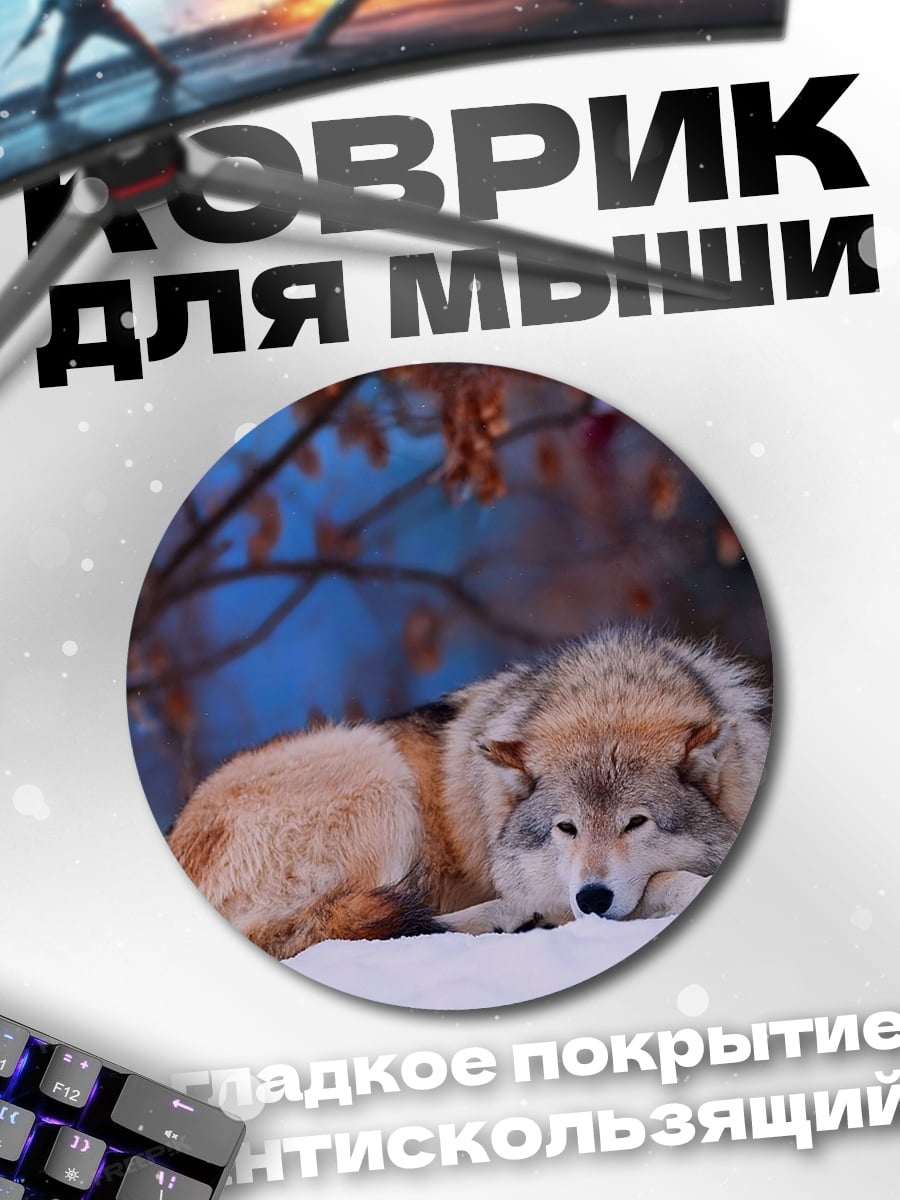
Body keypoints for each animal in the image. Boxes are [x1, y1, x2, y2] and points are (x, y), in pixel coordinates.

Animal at [167, 627, 769, 958]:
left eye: (636, 823)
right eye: (566, 828)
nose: (592, 897)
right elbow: (662, 882)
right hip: (377, 771)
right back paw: (510, 918)